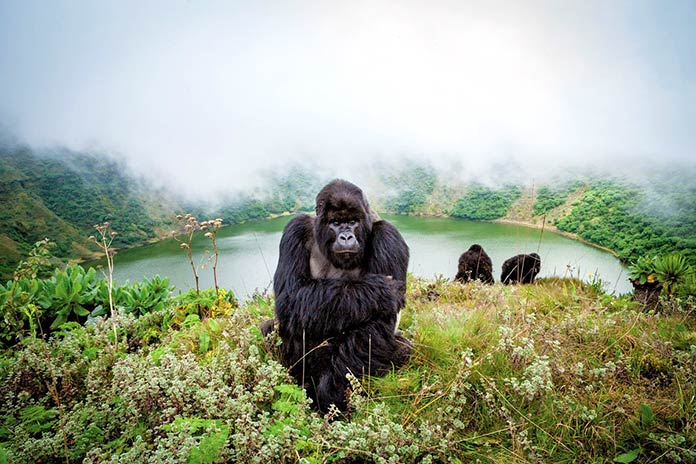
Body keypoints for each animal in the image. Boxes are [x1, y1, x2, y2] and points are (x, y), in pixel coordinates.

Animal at [272, 180, 414, 414]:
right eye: (336, 222)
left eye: (353, 222)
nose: (346, 236)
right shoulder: (296, 228)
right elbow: (291, 297)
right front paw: (379, 290)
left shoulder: (388, 237)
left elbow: (376, 326)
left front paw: (331, 394)